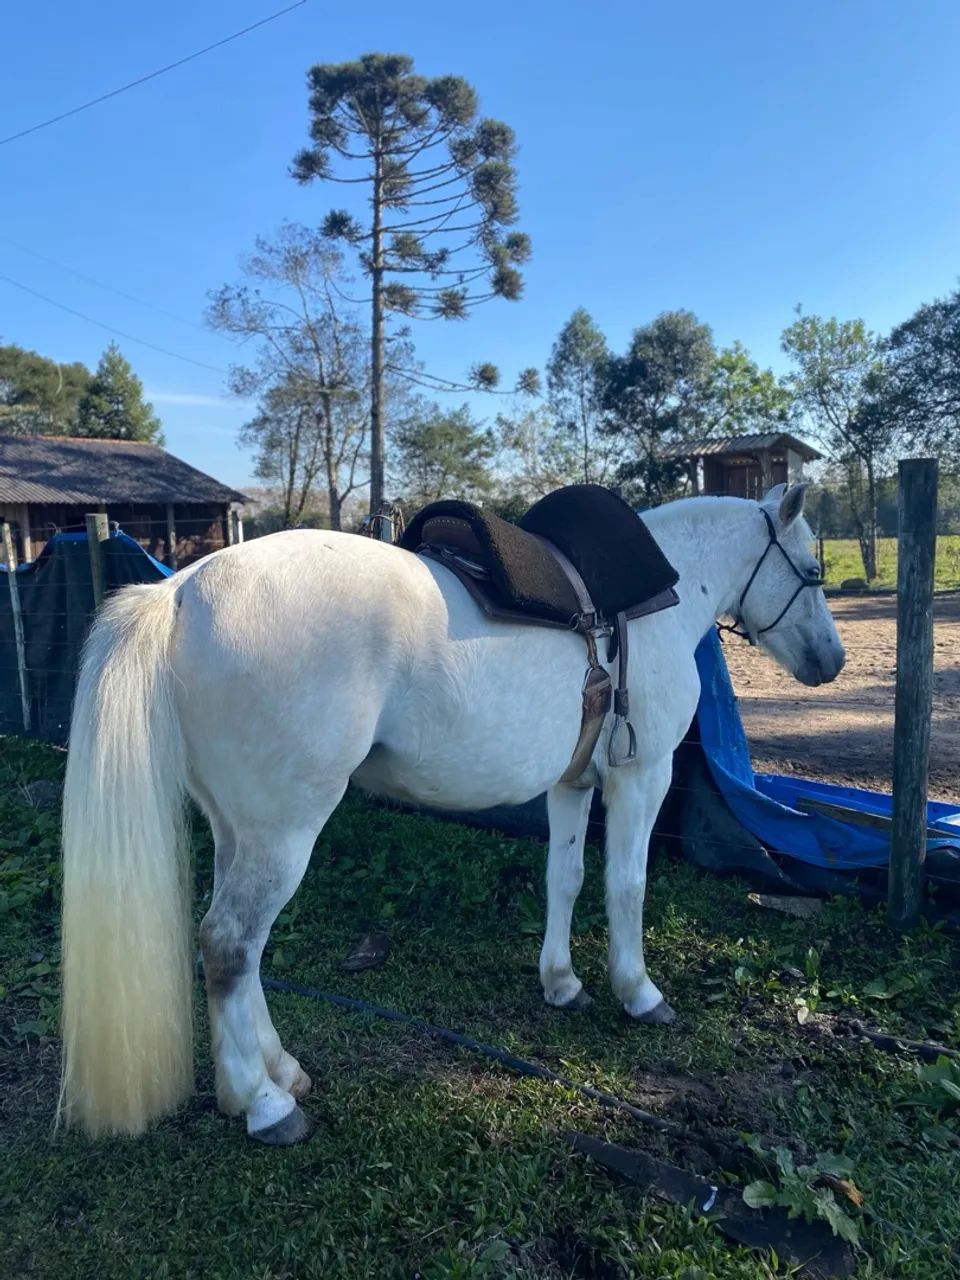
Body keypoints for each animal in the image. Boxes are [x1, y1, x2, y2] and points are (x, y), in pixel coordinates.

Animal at [58, 482, 844, 1145]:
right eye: (811, 568)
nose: (830, 661)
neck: (653, 603)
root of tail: (180, 590)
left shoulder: (571, 785)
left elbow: (565, 881)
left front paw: (562, 983)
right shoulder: (641, 778)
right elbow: (627, 886)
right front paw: (639, 992)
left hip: (239, 830)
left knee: (238, 954)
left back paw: (270, 1074)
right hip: (283, 832)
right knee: (229, 945)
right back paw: (264, 1104)